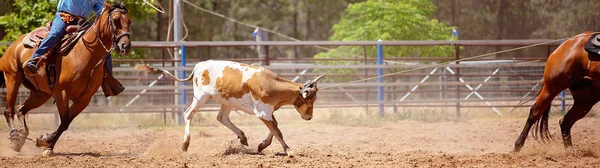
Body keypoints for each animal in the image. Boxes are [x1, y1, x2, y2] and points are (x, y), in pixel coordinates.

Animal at [137, 59, 324, 156]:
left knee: (222, 118)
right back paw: (185, 144)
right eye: (310, 102)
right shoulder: (262, 112)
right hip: (201, 96)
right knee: (189, 114)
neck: (270, 84)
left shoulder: (267, 112)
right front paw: (289, 151)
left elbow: (274, 128)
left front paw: (262, 145)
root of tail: (198, 66)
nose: (309, 117)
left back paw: (242, 137)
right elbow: (277, 131)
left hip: (226, 102)